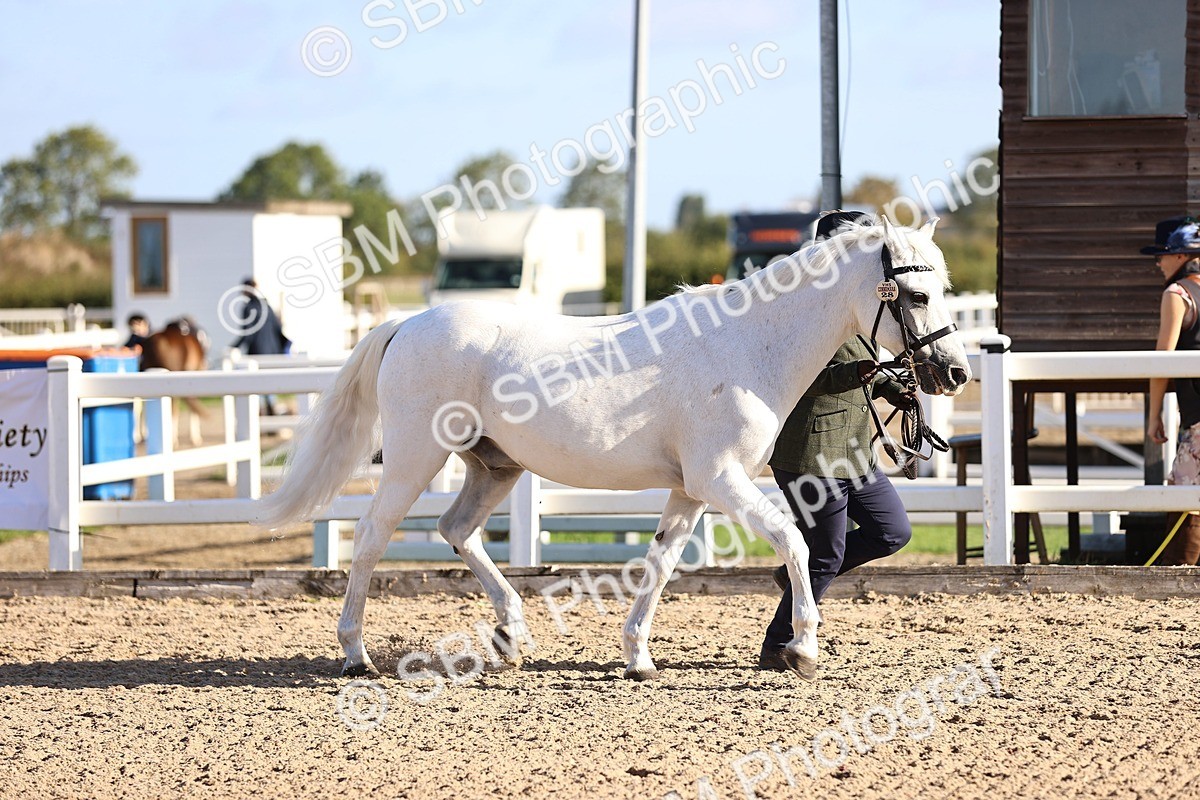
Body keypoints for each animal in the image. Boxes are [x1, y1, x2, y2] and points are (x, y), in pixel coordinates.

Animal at [257, 216, 972, 682]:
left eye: (943, 286)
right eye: (916, 293)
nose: (955, 373)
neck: (746, 345)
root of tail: (406, 323)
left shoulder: (690, 490)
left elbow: (660, 564)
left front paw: (638, 658)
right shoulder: (721, 480)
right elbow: (795, 544)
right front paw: (802, 651)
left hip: (494, 467)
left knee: (456, 530)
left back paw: (513, 635)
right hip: (413, 459)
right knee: (372, 534)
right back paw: (356, 654)